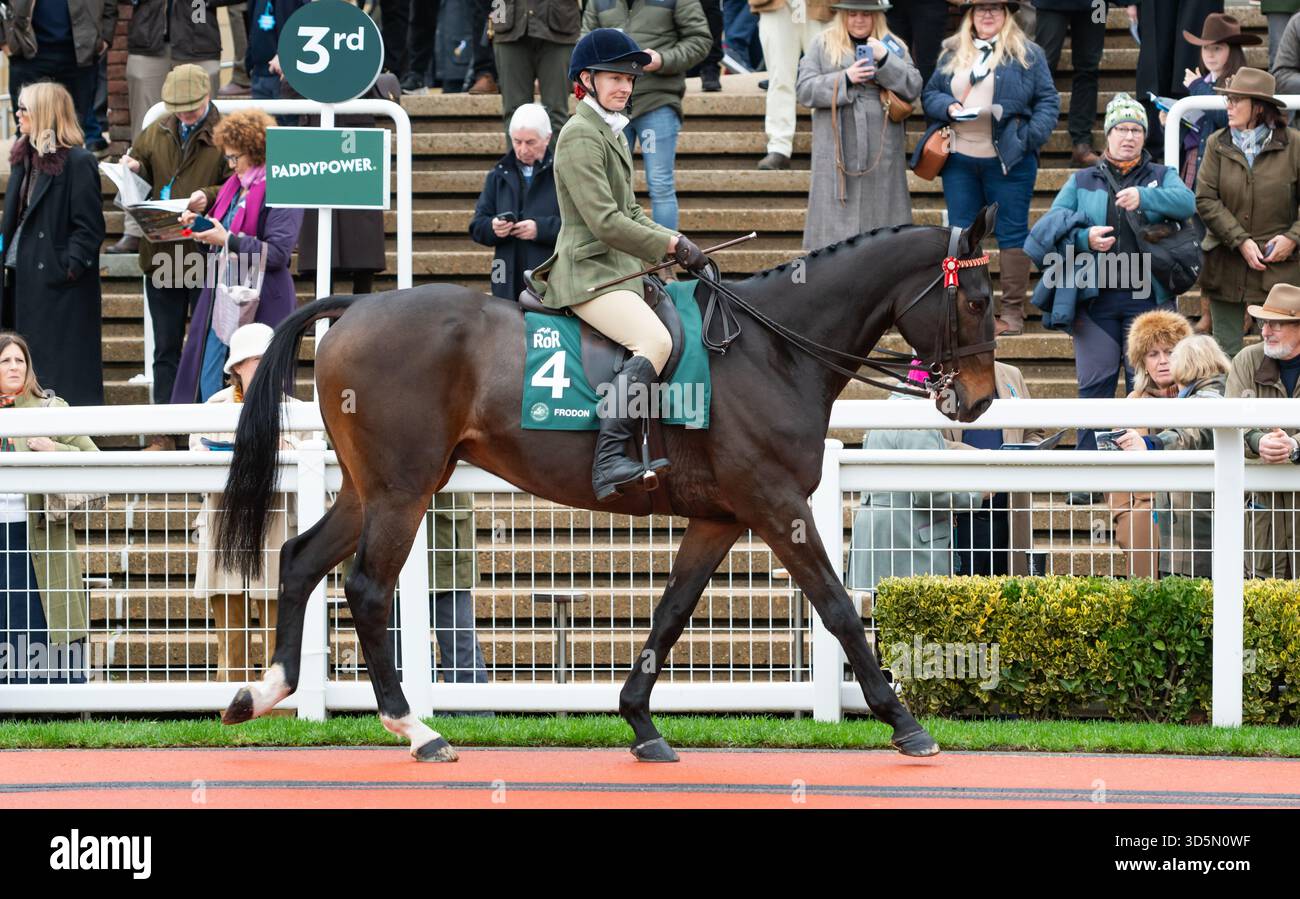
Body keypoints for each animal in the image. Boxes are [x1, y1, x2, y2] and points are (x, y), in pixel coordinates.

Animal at [214, 205, 1001, 763]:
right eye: (976, 300)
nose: (981, 400)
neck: (772, 348)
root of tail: (354, 307)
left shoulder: (720, 517)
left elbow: (671, 613)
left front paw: (641, 722)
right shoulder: (778, 506)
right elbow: (837, 609)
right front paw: (904, 721)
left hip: (371, 487)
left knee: (300, 560)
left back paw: (264, 691)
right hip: (401, 493)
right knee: (368, 590)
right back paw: (417, 730)